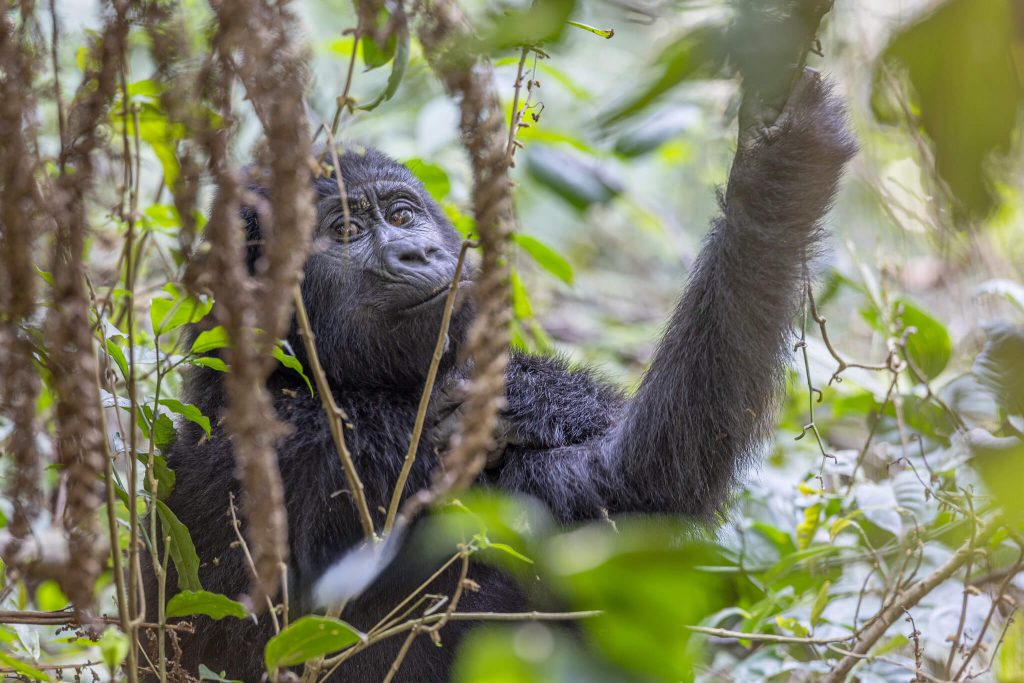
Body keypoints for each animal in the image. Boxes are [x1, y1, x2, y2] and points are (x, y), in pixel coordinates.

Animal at [145, 68, 855, 681]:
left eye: (401, 214)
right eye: (345, 230)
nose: (417, 251)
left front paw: (543, 399)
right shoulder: (335, 449)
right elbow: (630, 485)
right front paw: (778, 170)